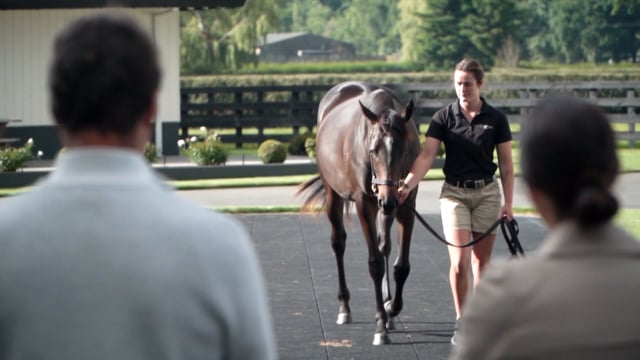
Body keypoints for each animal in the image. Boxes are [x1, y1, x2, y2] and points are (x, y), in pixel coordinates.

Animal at [298, 80, 422, 344]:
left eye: (404, 149)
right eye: (373, 150)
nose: (387, 199)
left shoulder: (406, 203)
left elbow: (401, 266)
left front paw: (391, 308)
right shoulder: (364, 204)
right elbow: (374, 264)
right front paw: (380, 325)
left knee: (384, 244)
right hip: (333, 194)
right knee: (338, 242)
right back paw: (344, 307)